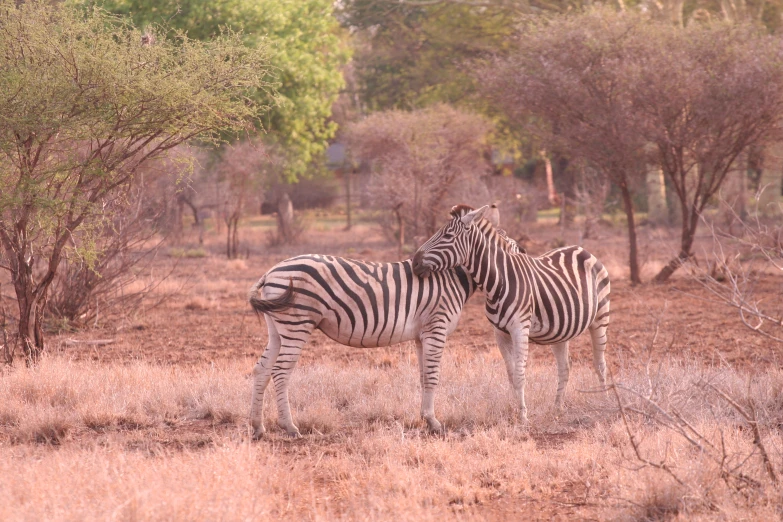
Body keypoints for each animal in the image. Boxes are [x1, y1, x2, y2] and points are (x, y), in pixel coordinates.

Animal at [248, 205, 524, 436]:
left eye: (446, 235)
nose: (415, 263)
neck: (451, 277)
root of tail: (270, 271)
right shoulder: (437, 327)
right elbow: (433, 375)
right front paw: (435, 423)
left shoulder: (422, 334)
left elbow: (423, 375)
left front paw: (425, 418)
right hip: (297, 324)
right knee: (280, 372)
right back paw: (289, 427)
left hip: (278, 329)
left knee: (262, 369)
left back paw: (258, 427)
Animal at [414, 203, 608, 418]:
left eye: (448, 235)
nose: (414, 262)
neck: (499, 282)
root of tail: (581, 249)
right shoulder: (500, 333)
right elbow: (511, 374)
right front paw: (515, 410)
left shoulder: (520, 329)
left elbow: (520, 374)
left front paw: (523, 415)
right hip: (561, 330)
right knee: (564, 367)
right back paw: (557, 407)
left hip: (600, 318)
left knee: (600, 364)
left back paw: (605, 402)